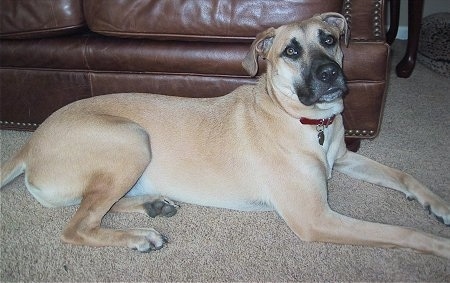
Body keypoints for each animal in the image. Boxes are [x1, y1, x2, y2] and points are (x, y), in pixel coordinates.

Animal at [2, 12, 450, 258]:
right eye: (291, 51)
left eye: (330, 39)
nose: (331, 74)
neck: (306, 122)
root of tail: (29, 143)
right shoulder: (315, 217)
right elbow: (398, 233)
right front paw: (440, 244)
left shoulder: (342, 158)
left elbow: (405, 176)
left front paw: (439, 205)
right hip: (132, 139)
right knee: (76, 226)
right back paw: (138, 237)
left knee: (95, 208)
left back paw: (152, 204)